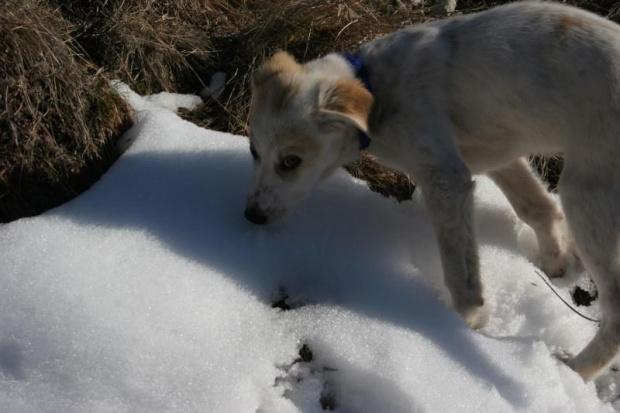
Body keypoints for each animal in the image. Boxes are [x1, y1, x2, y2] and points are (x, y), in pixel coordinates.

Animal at [245, 0, 620, 380]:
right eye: (253, 151)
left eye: (290, 161)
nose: (252, 216)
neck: (376, 87)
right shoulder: (496, 154)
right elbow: (538, 208)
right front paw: (554, 264)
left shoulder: (445, 178)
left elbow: (461, 275)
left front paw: (462, 322)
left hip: (587, 194)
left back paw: (576, 371)